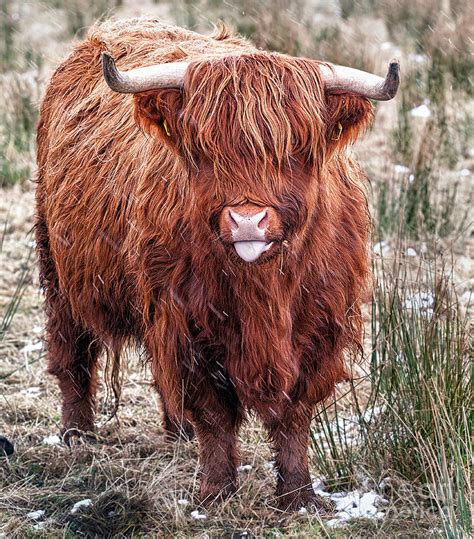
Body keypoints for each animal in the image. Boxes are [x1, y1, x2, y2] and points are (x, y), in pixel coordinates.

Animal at [35, 17, 398, 510]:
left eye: (297, 148)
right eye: (204, 150)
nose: (247, 219)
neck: (263, 290)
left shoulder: (321, 324)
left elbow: (294, 415)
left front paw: (298, 495)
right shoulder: (186, 321)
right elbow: (213, 411)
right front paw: (215, 492)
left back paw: (178, 432)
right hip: (60, 268)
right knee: (72, 352)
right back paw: (77, 435)